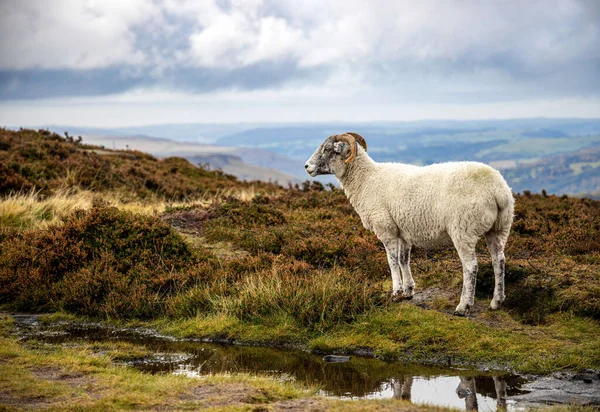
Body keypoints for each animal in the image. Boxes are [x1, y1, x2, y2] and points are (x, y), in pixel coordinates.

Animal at [308, 132, 512, 316]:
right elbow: (403, 260)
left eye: (327, 149)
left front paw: (396, 292)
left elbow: (391, 261)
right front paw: (408, 291)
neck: (366, 180)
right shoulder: (403, 232)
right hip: (499, 228)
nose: (306, 166)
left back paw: (463, 306)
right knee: (499, 260)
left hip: (463, 230)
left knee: (471, 266)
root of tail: (497, 190)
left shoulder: (386, 230)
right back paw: (496, 302)